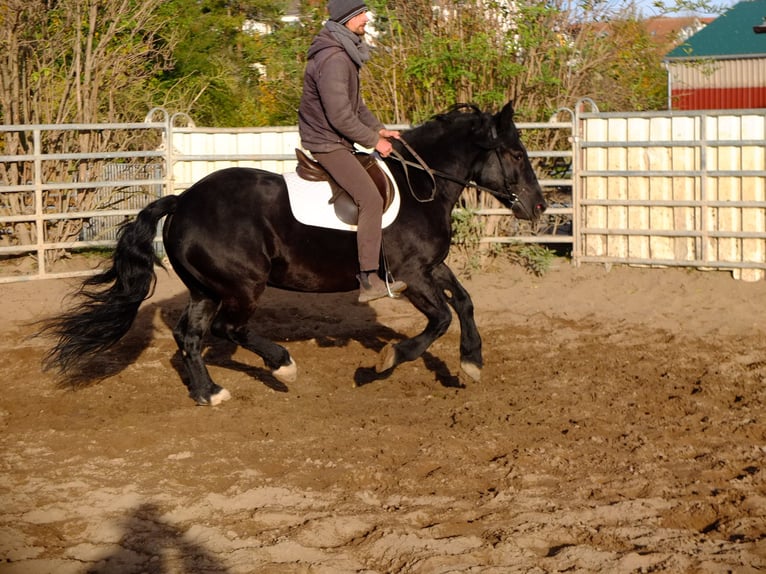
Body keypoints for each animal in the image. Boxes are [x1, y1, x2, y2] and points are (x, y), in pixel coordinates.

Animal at [42, 102, 548, 404]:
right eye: (515, 154)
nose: (540, 206)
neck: (419, 185)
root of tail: (183, 201)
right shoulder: (411, 274)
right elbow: (440, 318)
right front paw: (386, 361)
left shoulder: (430, 267)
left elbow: (464, 302)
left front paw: (471, 363)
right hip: (243, 285)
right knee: (229, 329)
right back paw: (282, 366)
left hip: (207, 289)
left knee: (190, 336)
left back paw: (210, 393)